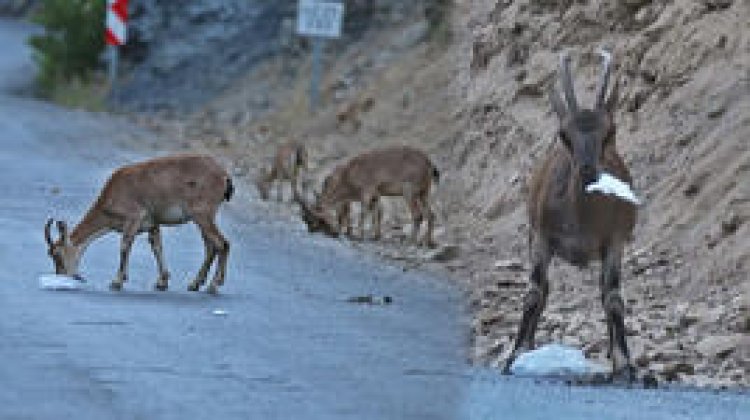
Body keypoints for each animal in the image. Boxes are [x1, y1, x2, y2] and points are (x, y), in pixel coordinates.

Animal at [45, 153, 234, 294]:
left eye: (57, 254)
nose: (63, 276)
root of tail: (224, 175)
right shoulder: (153, 224)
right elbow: (156, 247)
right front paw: (162, 282)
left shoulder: (133, 218)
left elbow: (124, 246)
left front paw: (117, 281)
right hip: (202, 217)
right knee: (211, 247)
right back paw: (195, 284)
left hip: (202, 214)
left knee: (222, 243)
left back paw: (214, 285)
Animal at [298, 145, 440, 246]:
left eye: (314, 220)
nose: (311, 231)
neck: (348, 177)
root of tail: (429, 163)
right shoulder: (375, 194)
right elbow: (376, 213)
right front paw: (375, 236)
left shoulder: (366, 192)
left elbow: (363, 213)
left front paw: (359, 236)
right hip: (423, 193)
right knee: (431, 214)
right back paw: (428, 242)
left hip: (409, 192)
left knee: (418, 215)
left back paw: (411, 241)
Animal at [506, 50, 640, 380]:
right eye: (563, 134)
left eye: (611, 131)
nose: (588, 168)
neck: (583, 221)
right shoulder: (542, 237)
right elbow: (535, 292)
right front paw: (515, 354)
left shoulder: (615, 241)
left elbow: (613, 297)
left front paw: (625, 364)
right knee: (545, 289)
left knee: (605, 293)